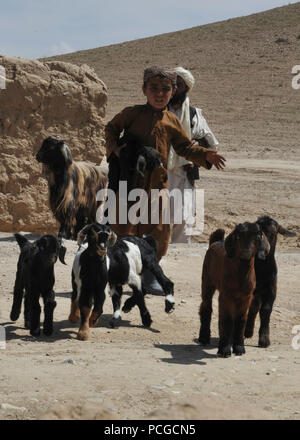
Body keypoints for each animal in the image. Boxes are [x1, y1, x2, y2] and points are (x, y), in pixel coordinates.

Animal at [199, 223, 270, 358]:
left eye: (257, 236)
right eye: (238, 237)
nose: (245, 252)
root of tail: (215, 242)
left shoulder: (246, 297)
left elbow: (241, 320)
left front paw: (239, 348)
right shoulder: (226, 296)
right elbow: (227, 319)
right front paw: (225, 350)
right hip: (207, 282)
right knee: (206, 307)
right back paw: (204, 338)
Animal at [245, 216, 296, 348]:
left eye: (273, 234)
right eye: (257, 233)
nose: (262, 251)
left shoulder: (271, 290)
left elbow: (265, 310)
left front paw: (264, 340)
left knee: (254, 307)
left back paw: (248, 332)